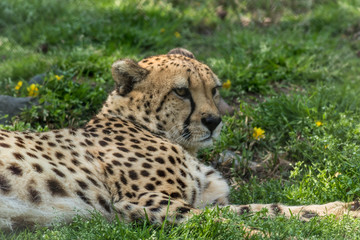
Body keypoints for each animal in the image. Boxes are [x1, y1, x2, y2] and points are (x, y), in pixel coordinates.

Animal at [0, 47, 360, 230]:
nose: (214, 121)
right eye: (182, 91)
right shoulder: (141, 202)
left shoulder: (205, 201)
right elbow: (221, 224)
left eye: (214, 89)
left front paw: (343, 209)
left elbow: (266, 208)